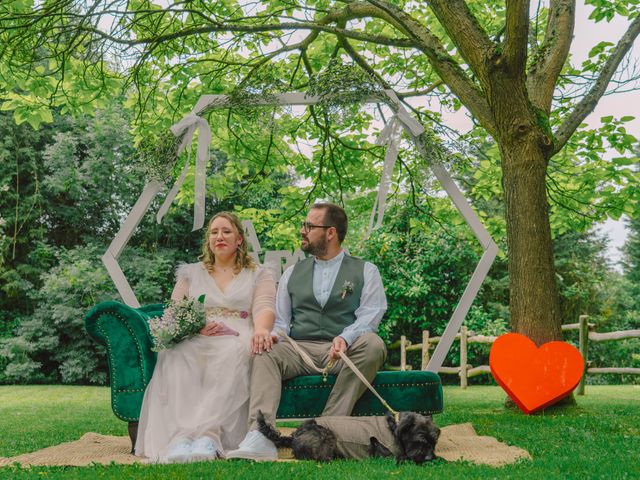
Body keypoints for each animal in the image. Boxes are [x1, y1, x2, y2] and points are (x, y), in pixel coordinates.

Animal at [255, 408, 440, 464]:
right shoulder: (385, 457)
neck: (394, 428)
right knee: (320, 458)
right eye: (420, 441)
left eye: (434, 442)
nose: (429, 458)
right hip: (326, 435)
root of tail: (294, 436)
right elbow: (403, 458)